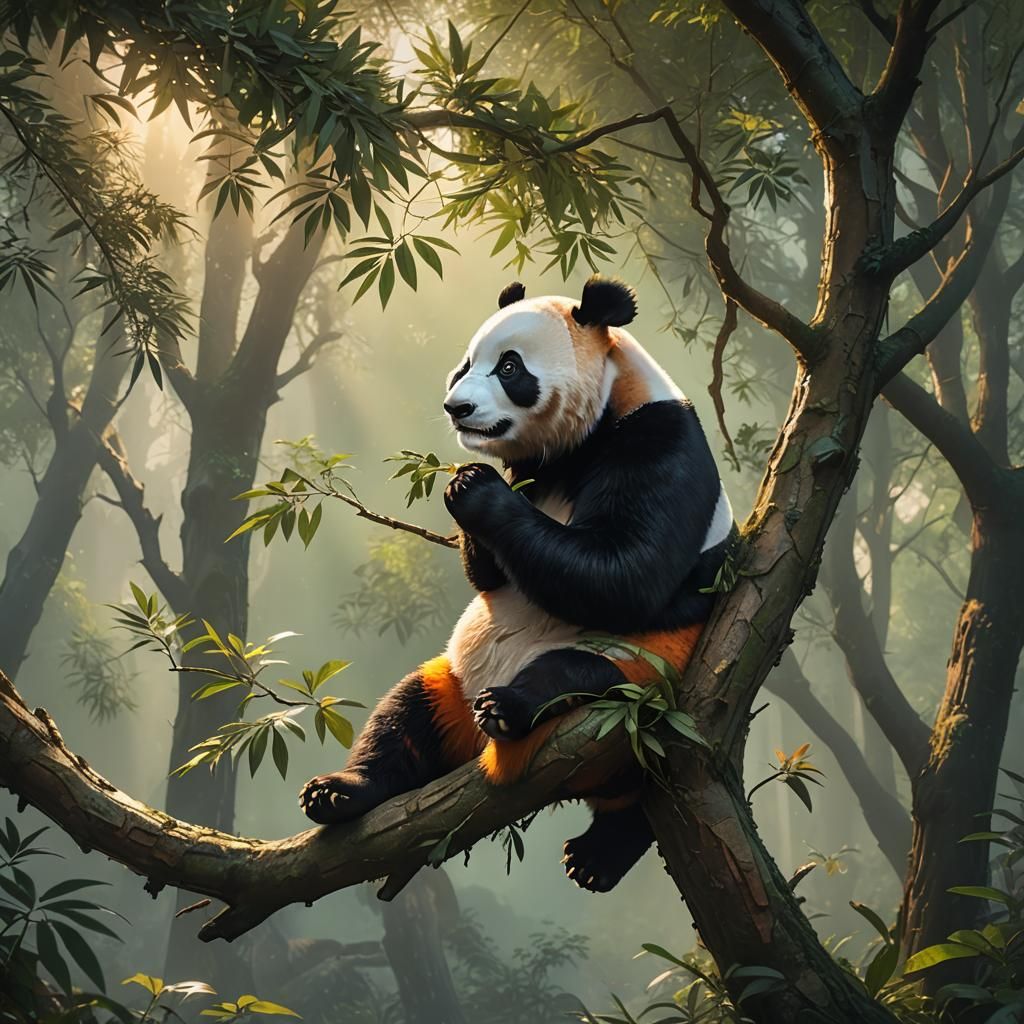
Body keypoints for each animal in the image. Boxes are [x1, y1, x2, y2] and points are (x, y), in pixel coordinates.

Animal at [300, 276, 735, 892]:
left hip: (646, 673)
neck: (582, 441)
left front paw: (475, 490)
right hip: (453, 682)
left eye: (509, 368)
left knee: (586, 684)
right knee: (405, 713)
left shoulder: (658, 439)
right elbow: (488, 576)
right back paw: (341, 793)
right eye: (464, 365)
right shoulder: (532, 470)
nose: (457, 407)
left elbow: (627, 572)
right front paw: (463, 488)